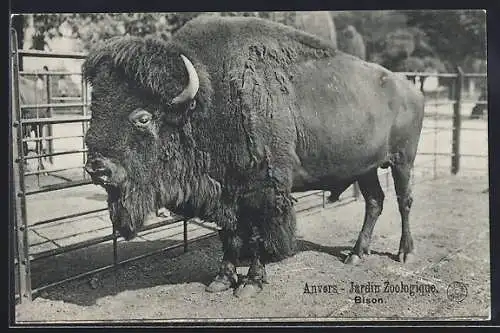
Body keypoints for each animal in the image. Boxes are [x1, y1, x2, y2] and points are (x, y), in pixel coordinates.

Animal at [83, 16, 426, 298]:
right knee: (374, 201)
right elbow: (231, 235)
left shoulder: (262, 192)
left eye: (142, 118)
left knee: (404, 201)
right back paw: (356, 254)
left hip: (403, 161)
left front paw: (251, 283)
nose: (97, 168)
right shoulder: (227, 193)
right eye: (95, 107)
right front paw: (221, 280)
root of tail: (412, 89)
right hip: (365, 168)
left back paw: (405, 253)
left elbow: (259, 235)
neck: (207, 99)